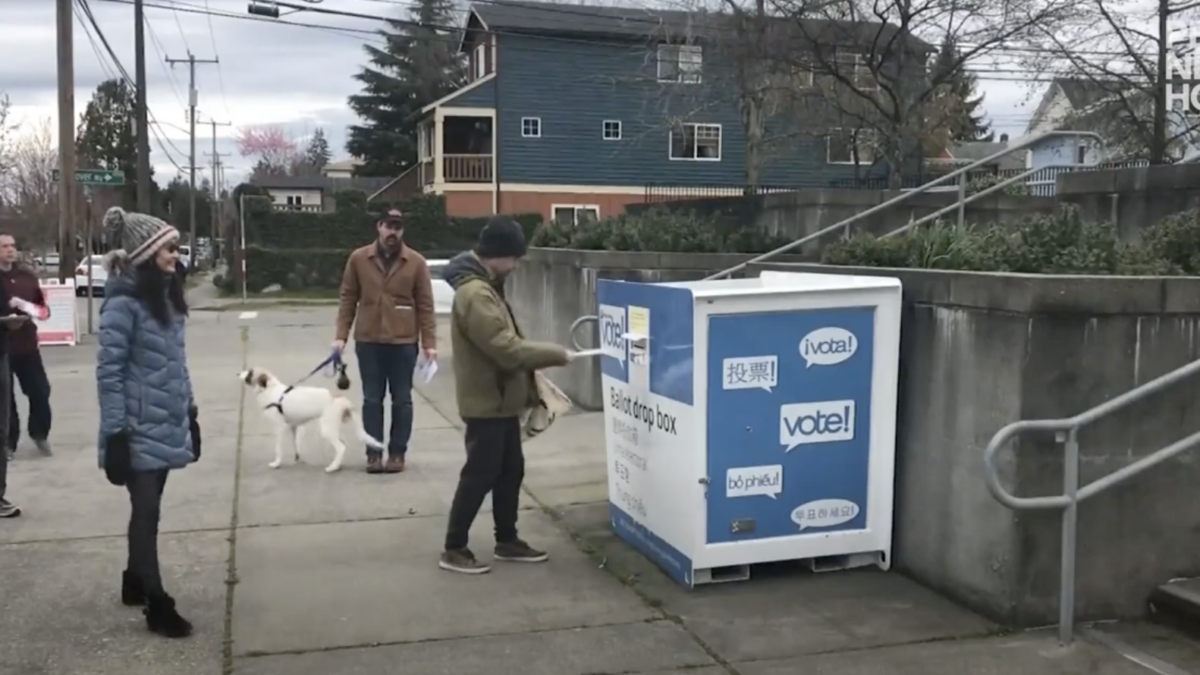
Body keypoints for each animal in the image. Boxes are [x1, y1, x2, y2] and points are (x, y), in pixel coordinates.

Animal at [236, 365, 381, 470]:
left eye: (250, 373)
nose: (237, 374)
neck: (270, 389)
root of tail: (339, 398)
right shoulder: (294, 426)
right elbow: (296, 444)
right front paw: (297, 458)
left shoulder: (280, 427)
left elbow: (278, 448)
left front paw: (276, 463)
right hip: (332, 428)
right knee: (342, 445)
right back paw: (337, 465)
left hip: (327, 429)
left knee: (341, 447)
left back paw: (333, 467)